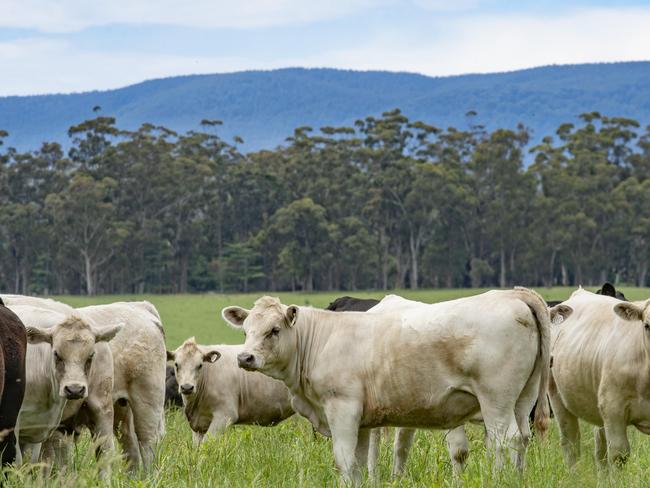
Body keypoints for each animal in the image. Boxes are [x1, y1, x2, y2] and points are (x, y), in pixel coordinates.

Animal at [221, 288, 548, 482]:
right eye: (247, 330)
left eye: (274, 330)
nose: (245, 357)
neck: (320, 340)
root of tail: (512, 295)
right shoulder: (363, 421)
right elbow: (359, 462)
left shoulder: (342, 409)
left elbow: (344, 460)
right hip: (523, 399)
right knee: (522, 438)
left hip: (496, 400)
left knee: (505, 440)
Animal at [548, 288, 648, 468]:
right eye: (647, 325)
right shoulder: (613, 409)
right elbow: (618, 455)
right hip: (558, 399)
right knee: (571, 445)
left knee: (600, 450)